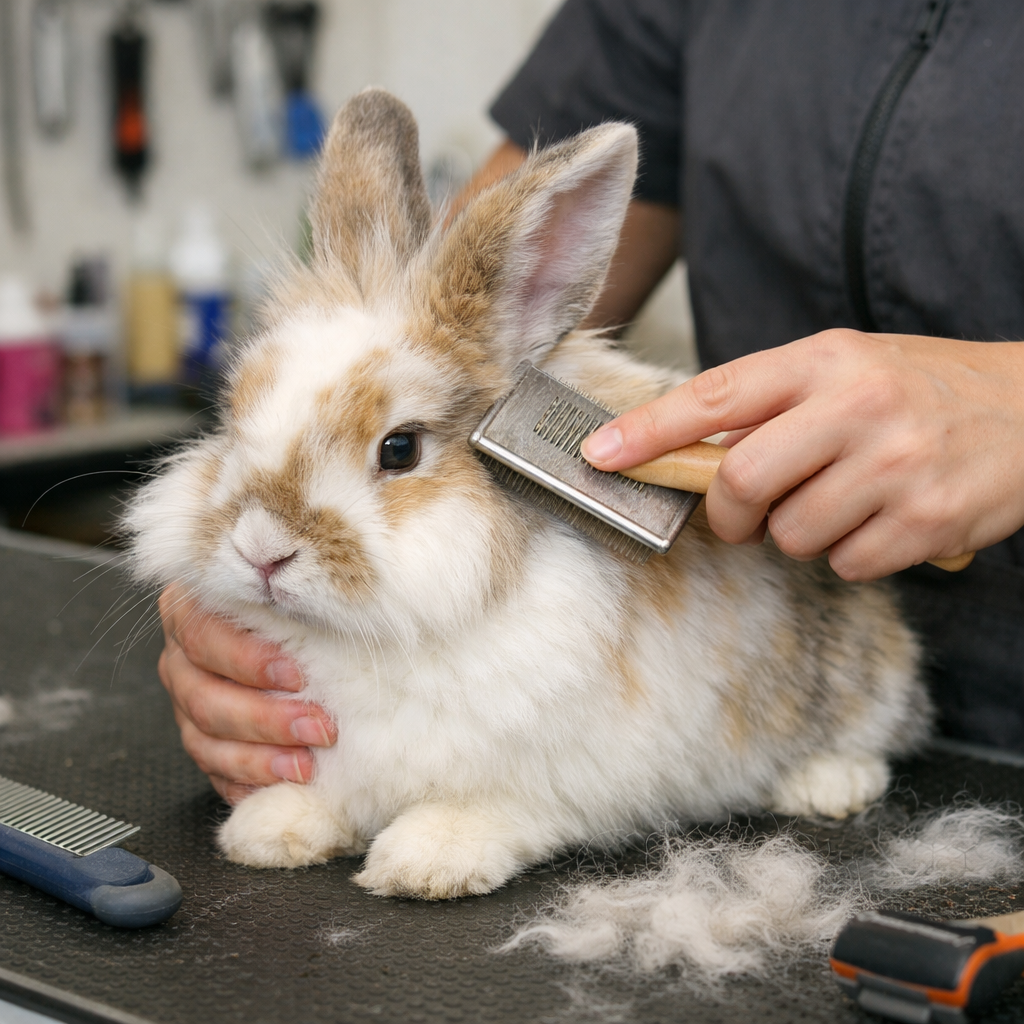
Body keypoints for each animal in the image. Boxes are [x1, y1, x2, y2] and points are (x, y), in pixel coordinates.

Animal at [125, 89, 930, 900]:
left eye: (400, 449)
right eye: (233, 418)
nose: (261, 550)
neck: (368, 636)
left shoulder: (561, 771)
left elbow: (498, 806)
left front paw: (427, 860)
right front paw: (270, 830)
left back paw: (829, 784)